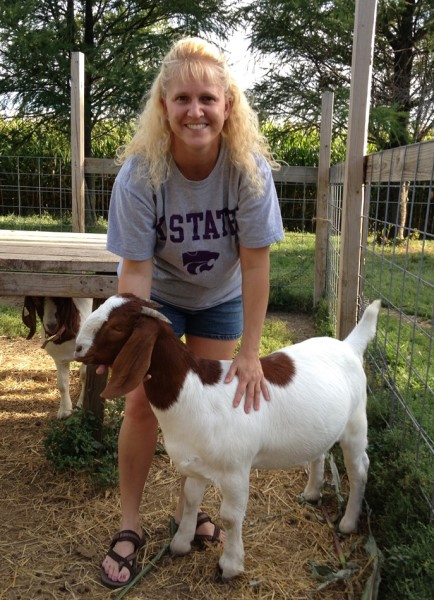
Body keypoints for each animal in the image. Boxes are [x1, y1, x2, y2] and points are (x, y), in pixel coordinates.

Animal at [74, 296, 380, 580]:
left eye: (116, 327)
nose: (78, 348)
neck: (195, 392)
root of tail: (349, 345)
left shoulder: (236, 471)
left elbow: (231, 518)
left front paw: (230, 566)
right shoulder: (195, 466)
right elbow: (190, 499)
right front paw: (181, 544)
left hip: (355, 423)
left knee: (359, 468)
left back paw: (348, 523)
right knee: (321, 452)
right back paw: (312, 493)